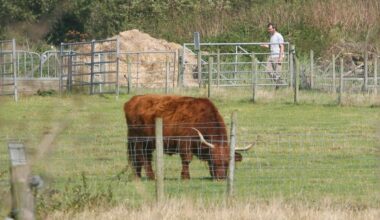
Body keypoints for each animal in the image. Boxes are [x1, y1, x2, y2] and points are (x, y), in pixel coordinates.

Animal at [123, 95, 251, 180]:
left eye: (227, 162)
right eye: (214, 161)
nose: (221, 178)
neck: (201, 118)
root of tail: (133, 100)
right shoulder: (184, 143)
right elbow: (186, 160)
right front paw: (185, 177)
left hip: (147, 144)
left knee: (144, 157)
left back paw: (141, 176)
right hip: (138, 141)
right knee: (140, 157)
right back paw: (147, 176)